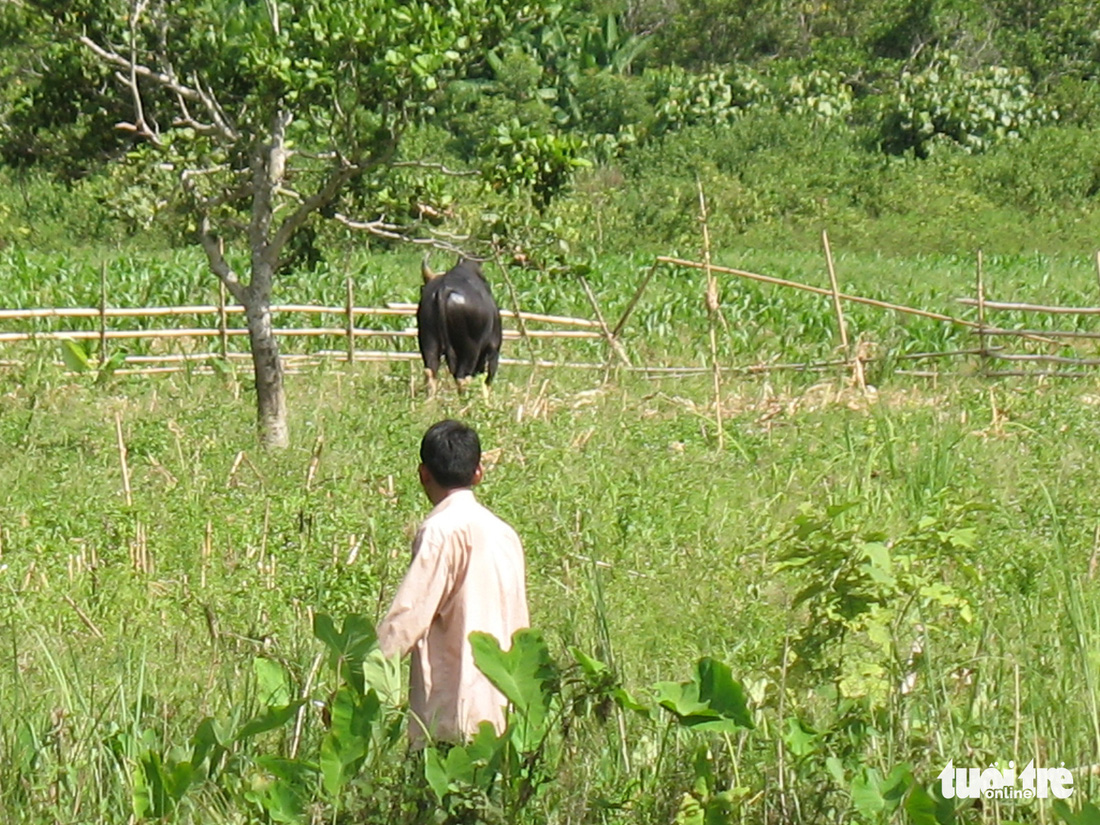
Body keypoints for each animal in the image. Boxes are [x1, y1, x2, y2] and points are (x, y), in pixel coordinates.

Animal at [415, 258, 503, 387]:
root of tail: (444, 288)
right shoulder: (493, 349)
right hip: (471, 349)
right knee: (463, 378)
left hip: (429, 340)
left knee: (430, 372)